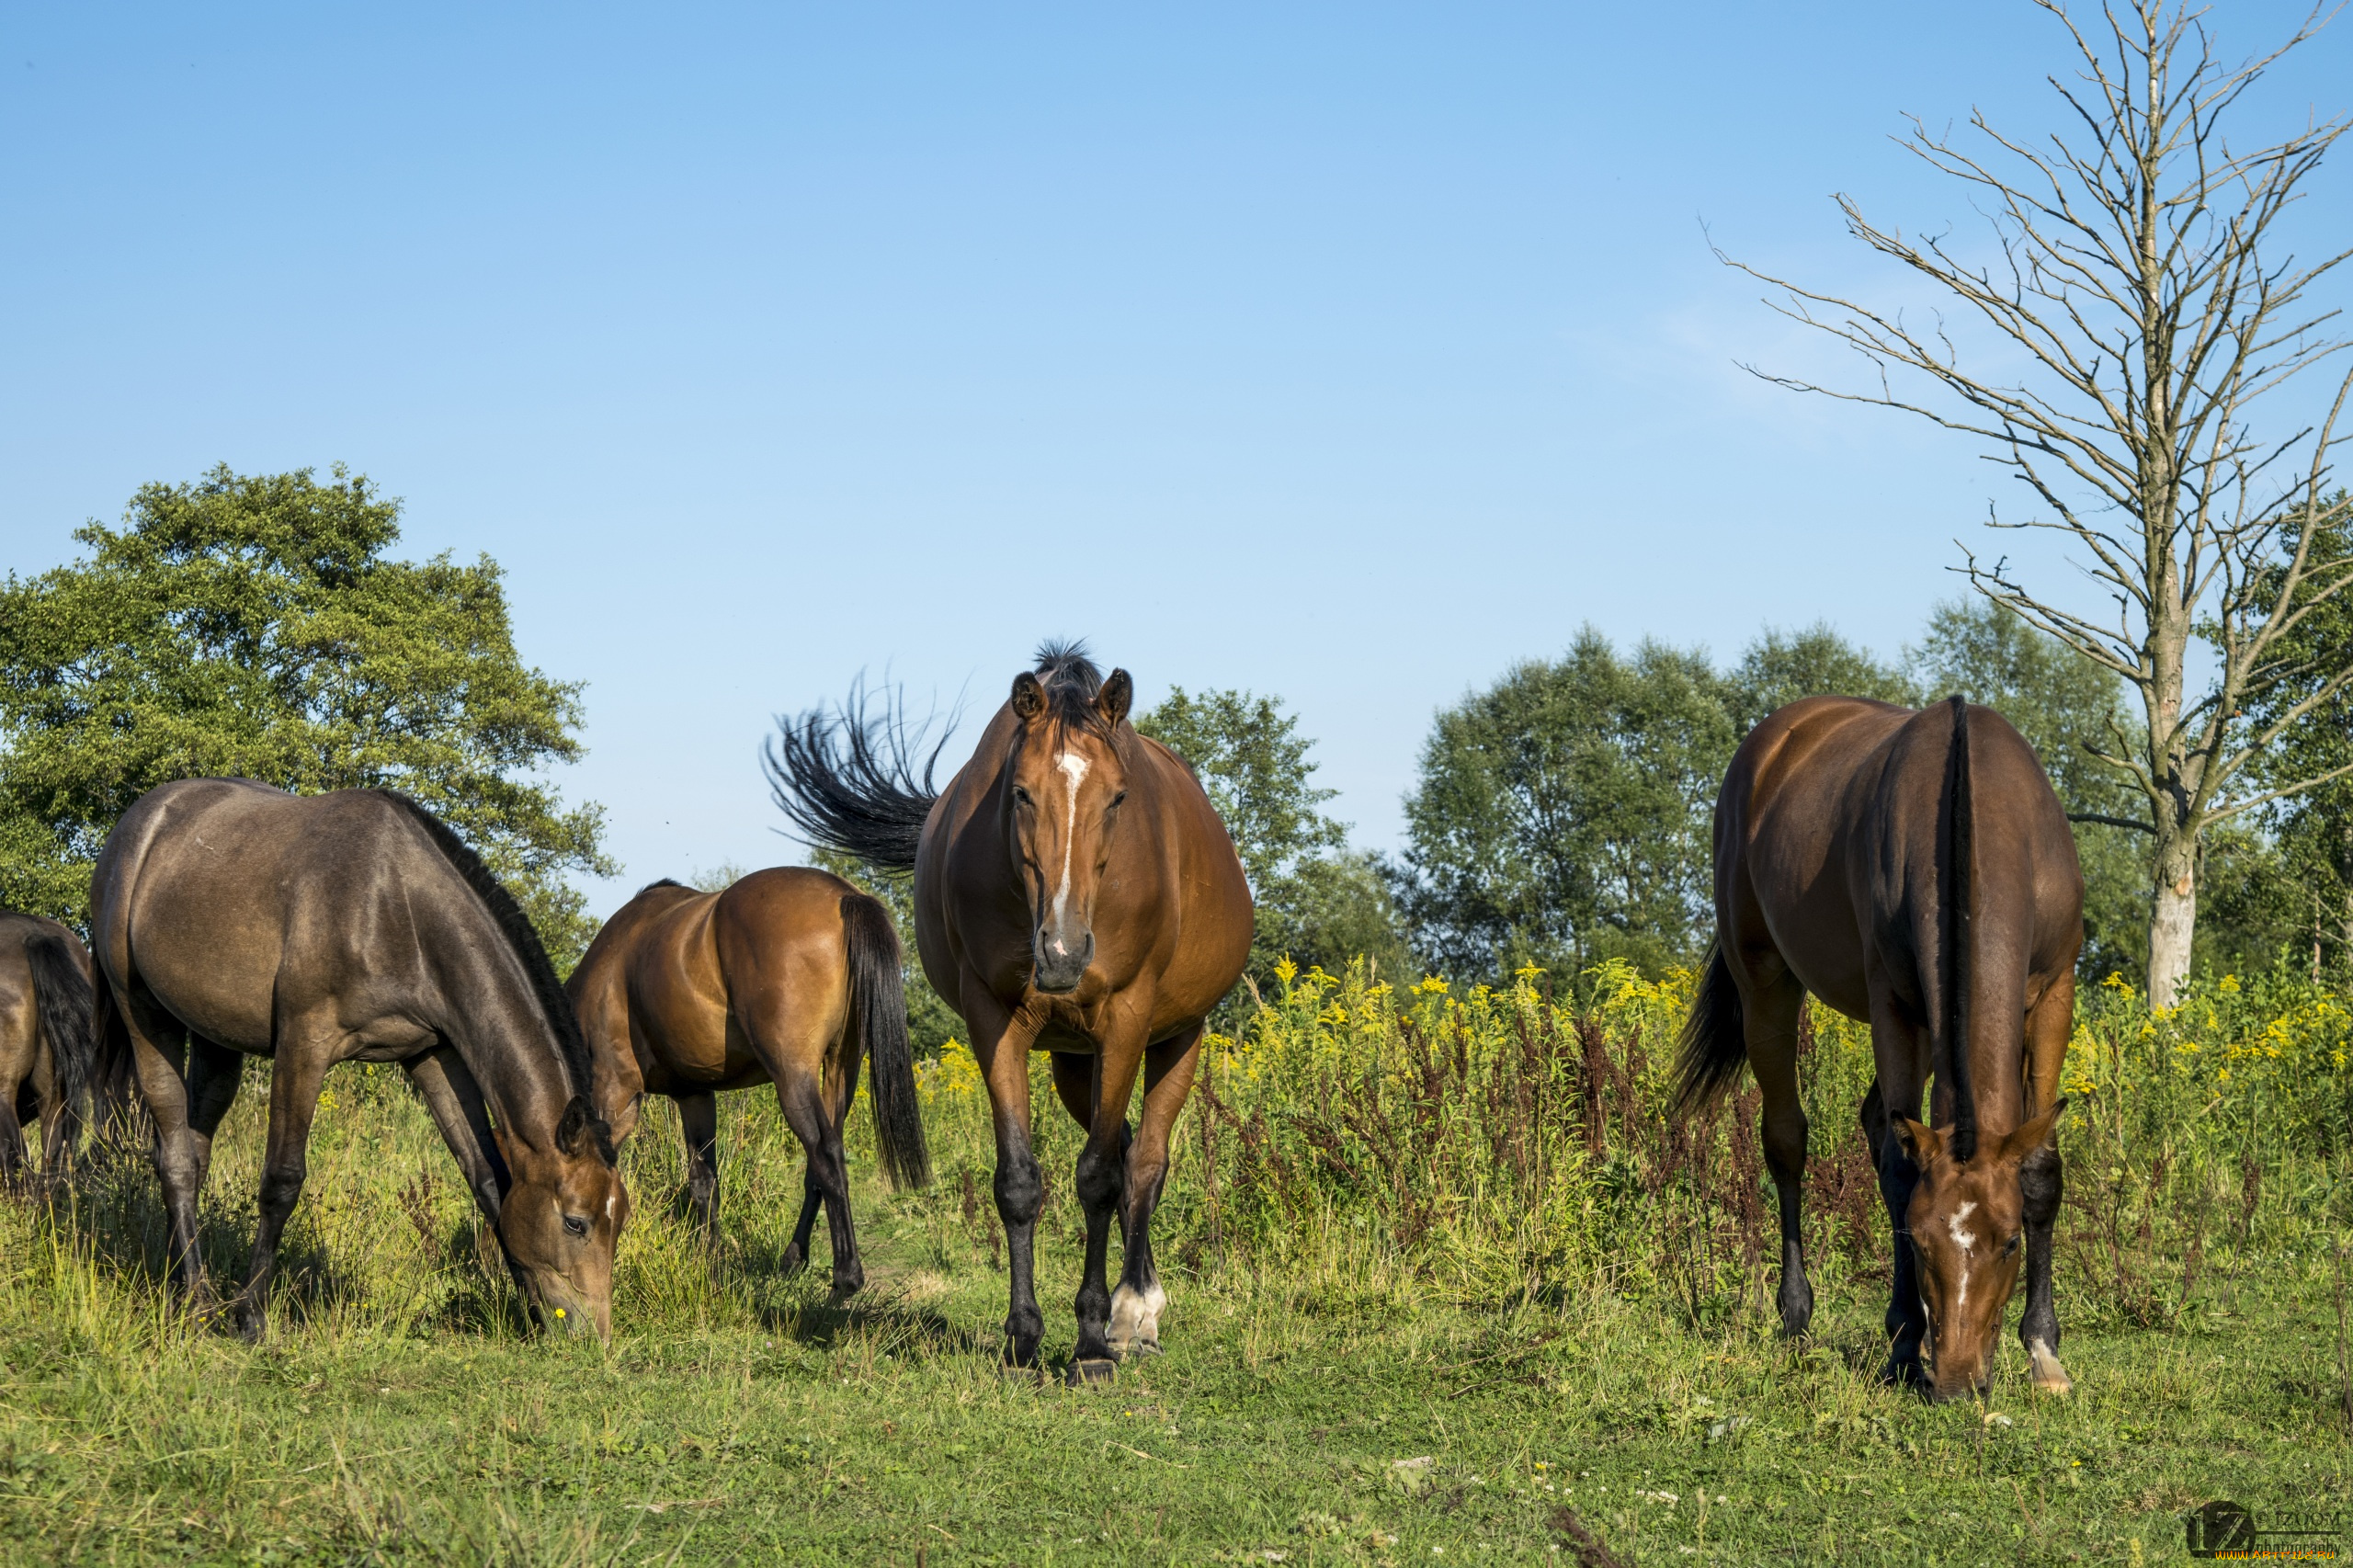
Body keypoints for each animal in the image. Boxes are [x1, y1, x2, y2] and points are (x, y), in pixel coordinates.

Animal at [90, 777, 631, 1336]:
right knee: (175, 1159)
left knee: (193, 1154)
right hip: (144, 1015)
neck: (398, 908)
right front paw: (251, 1316)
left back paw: (182, 1286)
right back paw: (198, 1302)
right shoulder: (304, 1044)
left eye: (621, 1220)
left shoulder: (433, 1054)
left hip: (216, 1037)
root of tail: (141, 822)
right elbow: (282, 1180)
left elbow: (487, 1179)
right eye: (576, 1222)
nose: (593, 1336)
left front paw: (527, 1307)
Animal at [566, 861, 926, 1290]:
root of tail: (843, 896)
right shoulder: (695, 1094)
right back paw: (792, 1260)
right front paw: (712, 1264)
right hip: (843, 1067)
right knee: (821, 1159)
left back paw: (845, 1278)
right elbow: (704, 1182)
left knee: (825, 1154)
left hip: (793, 1075)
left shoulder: (616, 1089)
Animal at [767, 640, 1251, 1374]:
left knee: (1145, 1165)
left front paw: (1091, 1341)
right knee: (1127, 1146)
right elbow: (1020, 1182)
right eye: (1021, 793)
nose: (1063, 950)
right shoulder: (994, 1021)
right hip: (1077, 1064)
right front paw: (1024, 1333)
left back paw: (1135, 1310)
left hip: (1178, 1037)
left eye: (1119, 797)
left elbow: (1101, 1180)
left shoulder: (1127, 1020)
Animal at [1675, 692, 2080, 1393]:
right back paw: (1796, 1315)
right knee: (1787, 1140)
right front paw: (1904, 1343)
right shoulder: (1892, 1002)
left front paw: (2043, 1348)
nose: (1957, 1380)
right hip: (1765, 983)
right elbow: (1896, 1169)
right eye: (1917, 1242)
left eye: (2008, 1242)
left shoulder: (2056, 991)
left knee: (1871, 1118)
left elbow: (2041, 1170)